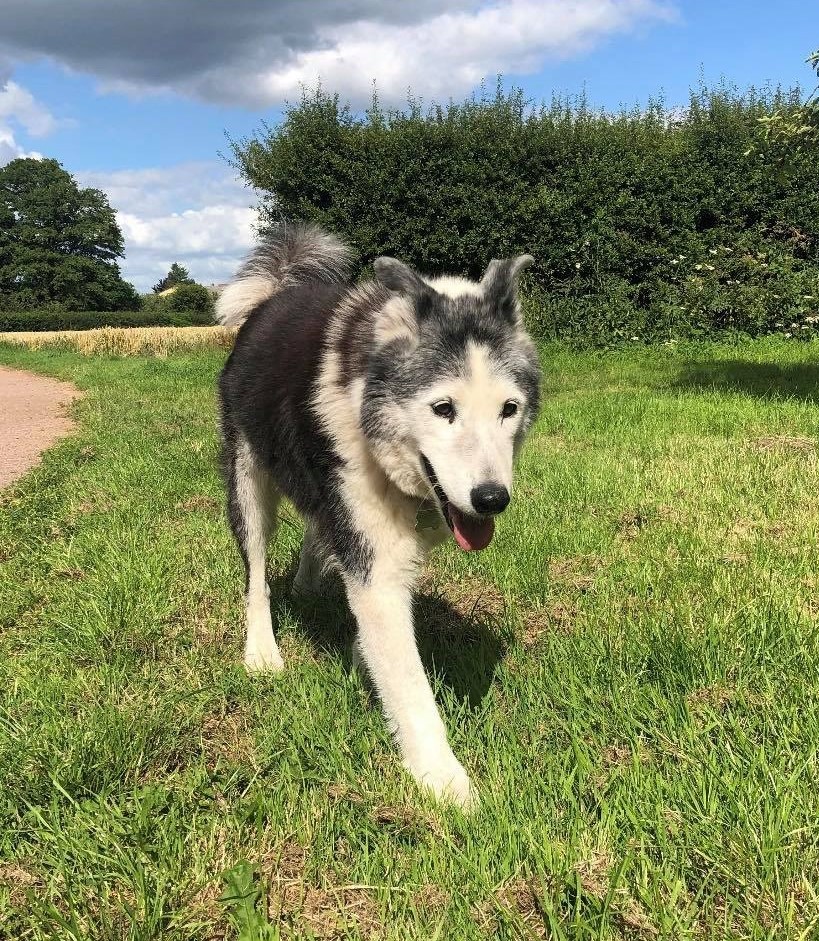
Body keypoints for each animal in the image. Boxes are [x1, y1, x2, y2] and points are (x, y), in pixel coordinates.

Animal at [215, 224, 540, 804]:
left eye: (509, 408)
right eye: (442, 409)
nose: (491, 499)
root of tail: (276, 293)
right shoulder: (378, 572)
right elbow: (410, 685)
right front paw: (447, 783)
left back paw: (308, 583)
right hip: (248, 475)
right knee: (255, 570)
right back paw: (262, 650)